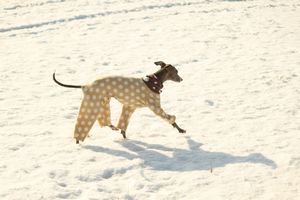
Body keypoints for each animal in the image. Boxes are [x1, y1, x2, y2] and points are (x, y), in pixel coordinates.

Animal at [53, 60, 185, 143]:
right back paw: (78, 141)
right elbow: (171, 120)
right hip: (93, 102)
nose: (182, 79)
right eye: (176, 72)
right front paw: (181, 130)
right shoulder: (155, 107)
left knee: (105, 121)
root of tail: (85, 85)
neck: (154, 81)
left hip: (102, 101)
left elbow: (123, 127)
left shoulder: (129, 106)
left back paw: (112, 127)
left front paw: (125, 137)